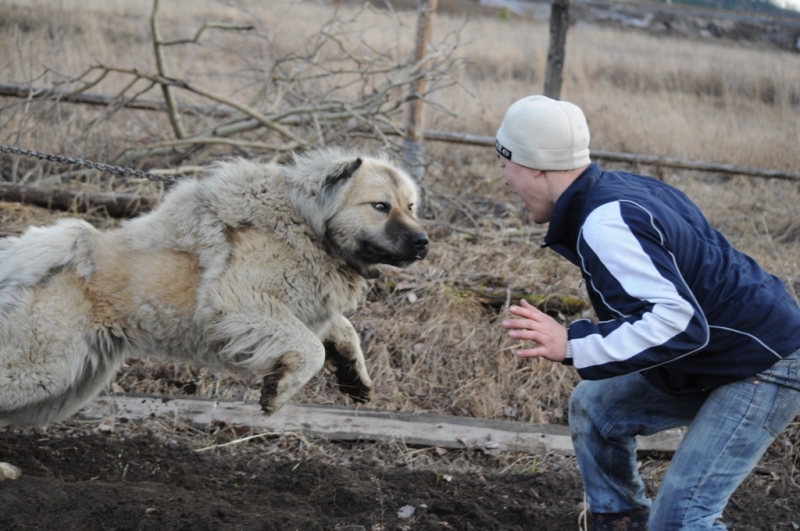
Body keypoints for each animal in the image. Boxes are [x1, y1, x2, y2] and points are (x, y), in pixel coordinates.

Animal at [0, 148, 432, 430]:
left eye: (410, 206)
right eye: (380, 206)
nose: (424, 242)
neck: (306, 226)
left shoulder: (304, 307)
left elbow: (342, 330)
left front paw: (355, 377)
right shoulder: (241, 303)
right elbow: (311, 349)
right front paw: (279, 391)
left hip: (69, 383)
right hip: (40, 372)